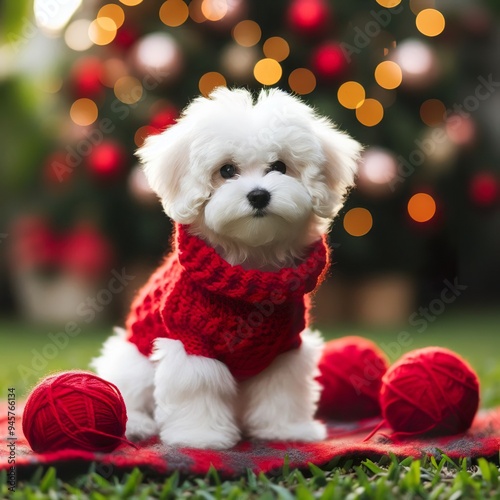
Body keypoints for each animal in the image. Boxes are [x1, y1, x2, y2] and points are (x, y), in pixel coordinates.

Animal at [92, 87, 362, 450]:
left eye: (280, 166)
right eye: (227, 170)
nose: (259, 195)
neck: (250, 268)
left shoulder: (286, 347)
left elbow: (282, 389)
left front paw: (285, 429)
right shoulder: (191, 341)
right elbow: (199, 386)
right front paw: (200, 436)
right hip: (134, 362)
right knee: (127, 394)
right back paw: (136, 424)